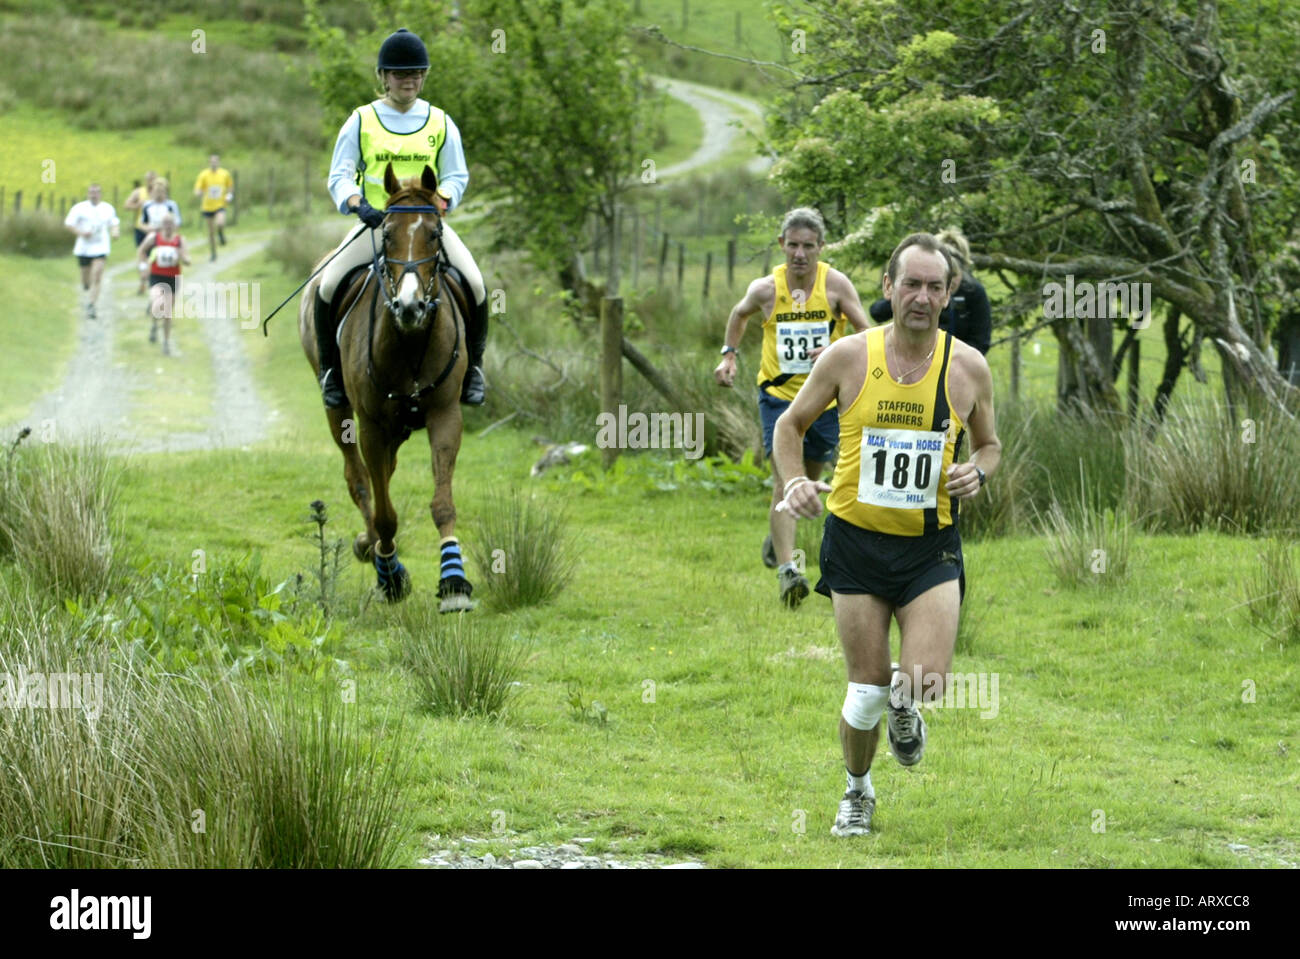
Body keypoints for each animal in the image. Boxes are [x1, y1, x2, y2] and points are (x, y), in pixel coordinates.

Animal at [297, 160, 475, 608]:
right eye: (388, 234)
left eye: (434, 234)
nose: (410, 306)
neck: (408, 340)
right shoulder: (372, 427)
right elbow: (385, 514)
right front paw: (390, 575)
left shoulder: (445, 415)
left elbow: (442, 503)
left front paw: (454, 582)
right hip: (340, 412)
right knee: (360, 480)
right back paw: (371, 549)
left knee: (384, 475)